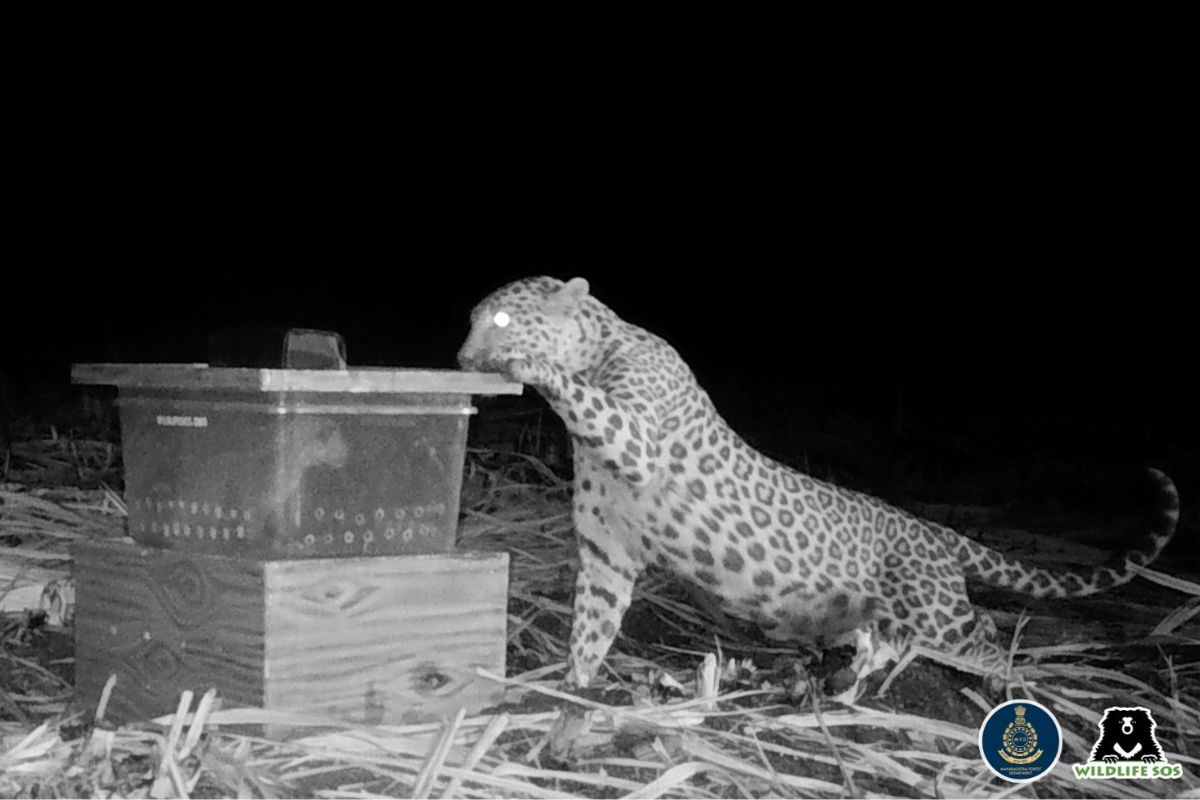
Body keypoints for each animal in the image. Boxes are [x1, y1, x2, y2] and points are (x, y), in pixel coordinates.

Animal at [457, 275, 1181, 690]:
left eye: (499, 320)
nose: (463, 358)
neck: (602, 341)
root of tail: (938, 531)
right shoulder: (609, 553)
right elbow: (593, 622)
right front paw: (573, 685)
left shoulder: (637, 436)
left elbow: (582, 395)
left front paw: (525, 361)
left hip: (936, 609)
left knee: (982, 633)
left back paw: (1002, 689)